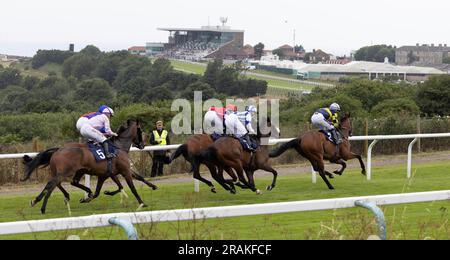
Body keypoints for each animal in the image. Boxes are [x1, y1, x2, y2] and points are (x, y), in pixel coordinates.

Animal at [21, 120, 155, 213]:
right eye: (140, 131)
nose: (143, 145)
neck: (119, 147)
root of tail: (59, 149)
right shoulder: (124, 171)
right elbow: (131, 187)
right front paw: (142, 203)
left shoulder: (106, 174)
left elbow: (135, 179)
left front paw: (153, 186)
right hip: (65, 172)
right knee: (52, 184)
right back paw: (42, 206)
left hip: (69, 171)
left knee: (64, 183)